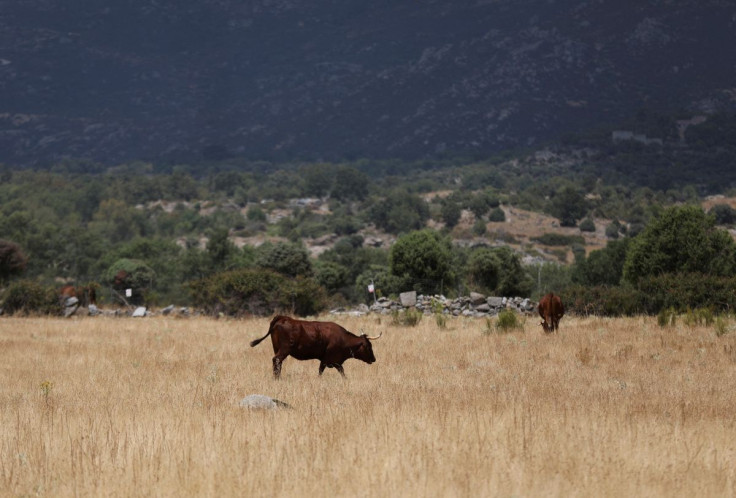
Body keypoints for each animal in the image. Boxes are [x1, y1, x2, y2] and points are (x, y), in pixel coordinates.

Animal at [250, 318, 382, 380]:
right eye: (369, 346)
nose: (374, 359)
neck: (343, 338)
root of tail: (283, 318)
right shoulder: (331, 360)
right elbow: (329, 371)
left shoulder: (330, 361)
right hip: (284, 349)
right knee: (277, 360)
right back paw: (277, 378)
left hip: (277, 348)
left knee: (277, 362)